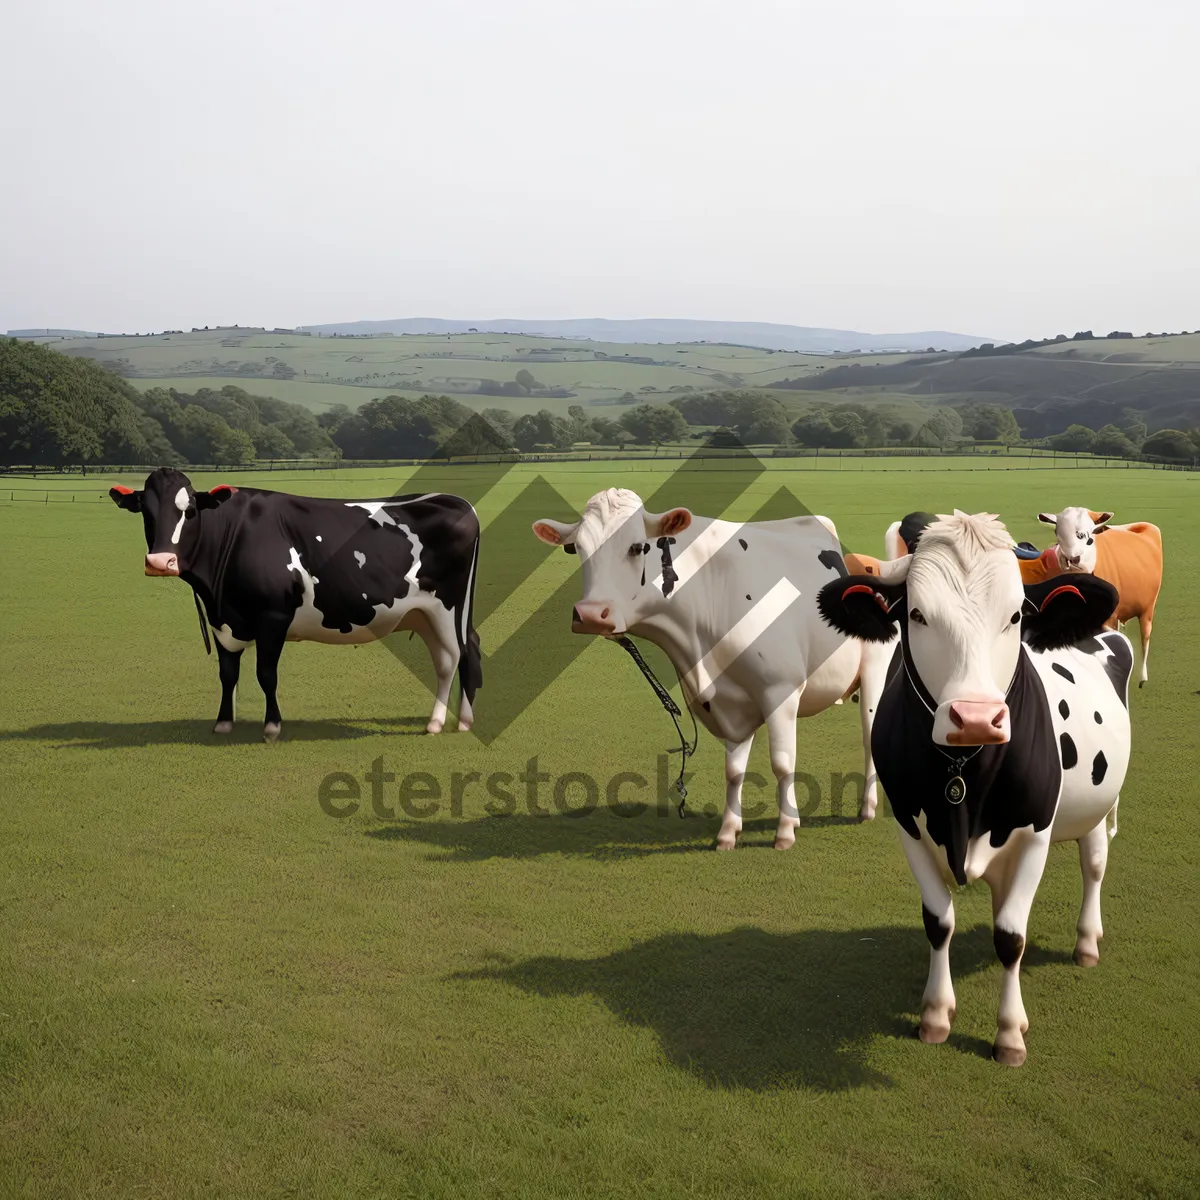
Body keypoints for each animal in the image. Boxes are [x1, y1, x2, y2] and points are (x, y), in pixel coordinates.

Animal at [109, 468, 482, 739]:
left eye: (188, 511)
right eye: (145, 510)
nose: (160, 562)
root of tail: (454, 501)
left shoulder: (273, 616)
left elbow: (266, 673)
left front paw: (272, 727)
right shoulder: (223, 620)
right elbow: (227, 673)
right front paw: (223, 723)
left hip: (447, 609)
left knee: (453, 658)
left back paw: (439, 724)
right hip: (423, 615)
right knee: (462, 651)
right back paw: (462, 720)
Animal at [530, 484, 897, 844]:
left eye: (637, 547)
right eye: (575, 548)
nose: (592, 614)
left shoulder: (780, 690)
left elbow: (782, 763)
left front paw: (785, 832)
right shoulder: (729, 702)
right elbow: (733, 770)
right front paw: (728, 832)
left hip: (875, 674)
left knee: (869, 737)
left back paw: (866, 808)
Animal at [816, 511, 1132, 1065]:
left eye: (1015, 615)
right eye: (916, 614)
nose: (977, 718)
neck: (966, 774)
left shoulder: (1034, 835)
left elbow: (1011, 936)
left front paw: (1008, 1035)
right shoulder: (910, 828)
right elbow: (938, 922)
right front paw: (936, 1015)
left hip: (1098, 802)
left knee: (1094, 865)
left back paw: (1087, 942)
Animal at [1017, 508, 1166, 686]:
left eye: (1089, 536)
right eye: (1057, 532)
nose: (1073, 558)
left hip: (1147, 609)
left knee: (1145, 637)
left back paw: (1142, 677)